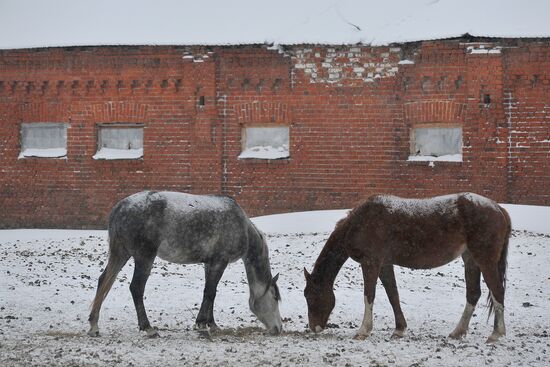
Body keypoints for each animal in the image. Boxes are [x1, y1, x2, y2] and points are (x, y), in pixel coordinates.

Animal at [89, 193, 284, 340]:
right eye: (275, 297)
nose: (279, 328)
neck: (241, 226)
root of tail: (120, 207)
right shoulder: (220, 262)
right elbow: (210, 292)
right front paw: (202, 325)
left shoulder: (210, 264)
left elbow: (211, 293)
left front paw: (212, 324)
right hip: (144, 258)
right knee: (136, 288)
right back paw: (149, 328)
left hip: (121, 254)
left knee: (103, 281)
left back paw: (94, 325)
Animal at [304, 194, 512, 344]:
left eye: (311, 296)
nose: (314, 328)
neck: (361, 221)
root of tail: (498, 208)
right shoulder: (385, 264)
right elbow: (393, 295)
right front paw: (399, 329)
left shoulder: (371, 262)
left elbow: (369, 295)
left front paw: (363, 331)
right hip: (470, 259)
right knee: (473, 294)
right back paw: (457, 332)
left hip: (484, 260)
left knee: (497, 291)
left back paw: (496, 334)